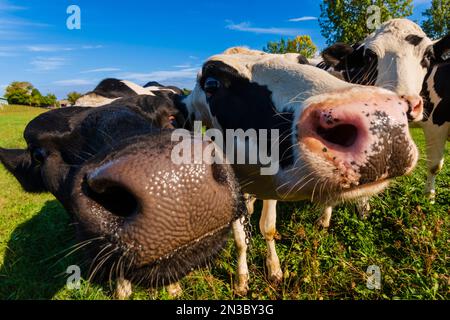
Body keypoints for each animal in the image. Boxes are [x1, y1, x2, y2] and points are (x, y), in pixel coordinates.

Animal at [182, 45, 418, 296]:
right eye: (211, 84)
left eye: (301, 61)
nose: (382, 120)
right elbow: (239, 240)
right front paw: (241, 280)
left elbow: (268, 227)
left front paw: (274, 269)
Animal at [320, 20, 450, 205]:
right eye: (369, 57)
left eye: (428, 56)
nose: (404, 104)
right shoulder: (436, 125)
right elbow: (434, 166)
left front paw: (429, 198)